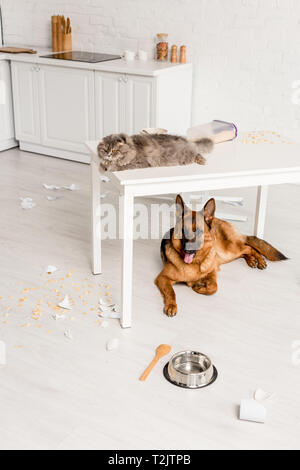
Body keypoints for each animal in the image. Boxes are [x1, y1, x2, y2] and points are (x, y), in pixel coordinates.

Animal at [156, 195, 288, 316]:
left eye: (198, 231)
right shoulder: (162, 278)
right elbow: (171, 291)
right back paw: (251, 260)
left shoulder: (213, 272)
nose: (188, 251)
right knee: (244, 251)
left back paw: (260, 260)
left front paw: (199, 287)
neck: (194, 262)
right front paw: (171, 305)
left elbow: (214, 287)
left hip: (227, 251)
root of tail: (217, 219)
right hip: (225, 256)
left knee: (248, 247)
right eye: (183, 231)